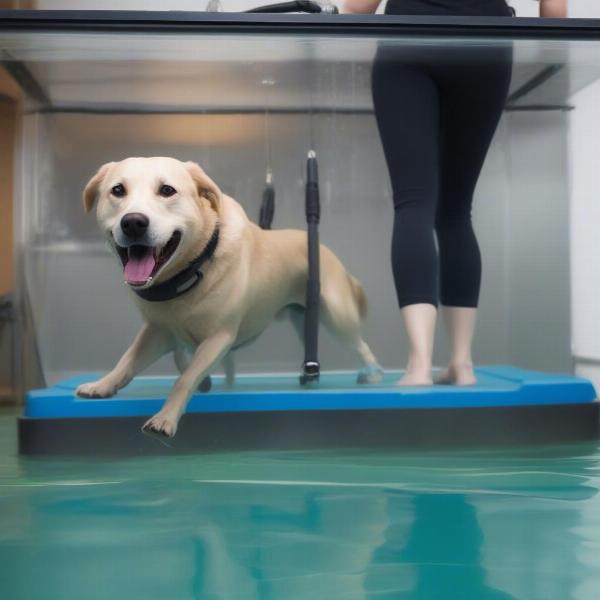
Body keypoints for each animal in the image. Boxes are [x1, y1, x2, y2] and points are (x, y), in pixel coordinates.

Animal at [76, 155, 384, 438]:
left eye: (167, 190)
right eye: (117, 190)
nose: (133, 222)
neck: (188, 275)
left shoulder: (218, 338)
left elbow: (185, 378)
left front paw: (166, 417)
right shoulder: (157, 332)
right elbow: (127, 361)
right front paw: (102, 385)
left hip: (337, 317)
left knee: (361, 344)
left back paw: (373, 373)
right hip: (303, 320)